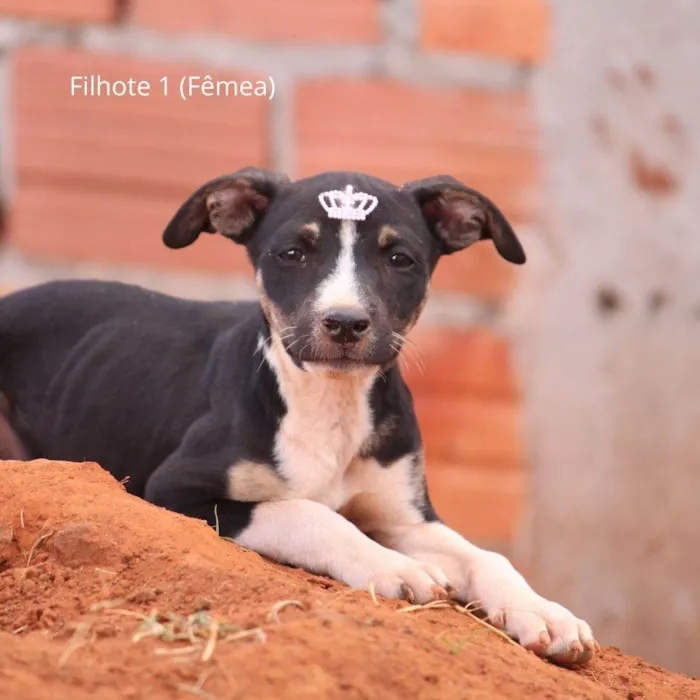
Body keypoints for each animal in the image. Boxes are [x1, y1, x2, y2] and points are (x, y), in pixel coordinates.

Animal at [0, 167, 596, 664]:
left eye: (399, 259)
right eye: (292, 253)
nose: (345, 323)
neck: (330, 405)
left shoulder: (406, 516)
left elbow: (487, 557)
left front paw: (544, 613)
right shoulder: (174, 489)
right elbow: (309, 512)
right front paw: (392, 567)